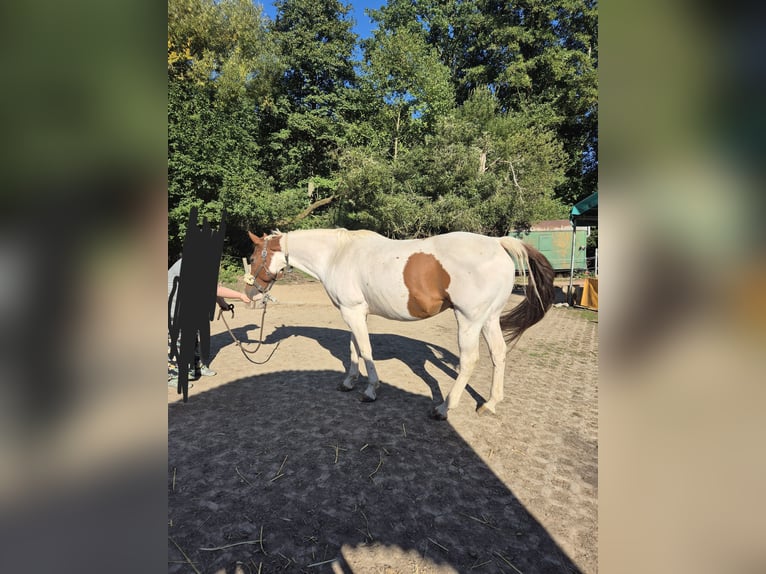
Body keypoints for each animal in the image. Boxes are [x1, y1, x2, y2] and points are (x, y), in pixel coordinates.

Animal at [247, 228, 555, 420]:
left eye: (251, 258)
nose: (251, 294)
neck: (338, 255)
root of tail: (497, 243)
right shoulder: (354, 313)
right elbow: (354, 349)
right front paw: (348, 382)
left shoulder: (353, 312)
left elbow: (365, 352)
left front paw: (370, 391)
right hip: (489, 319)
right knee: (498, 354)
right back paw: (490, 404)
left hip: (469, 319)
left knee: (469, 361)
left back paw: (443, 408)